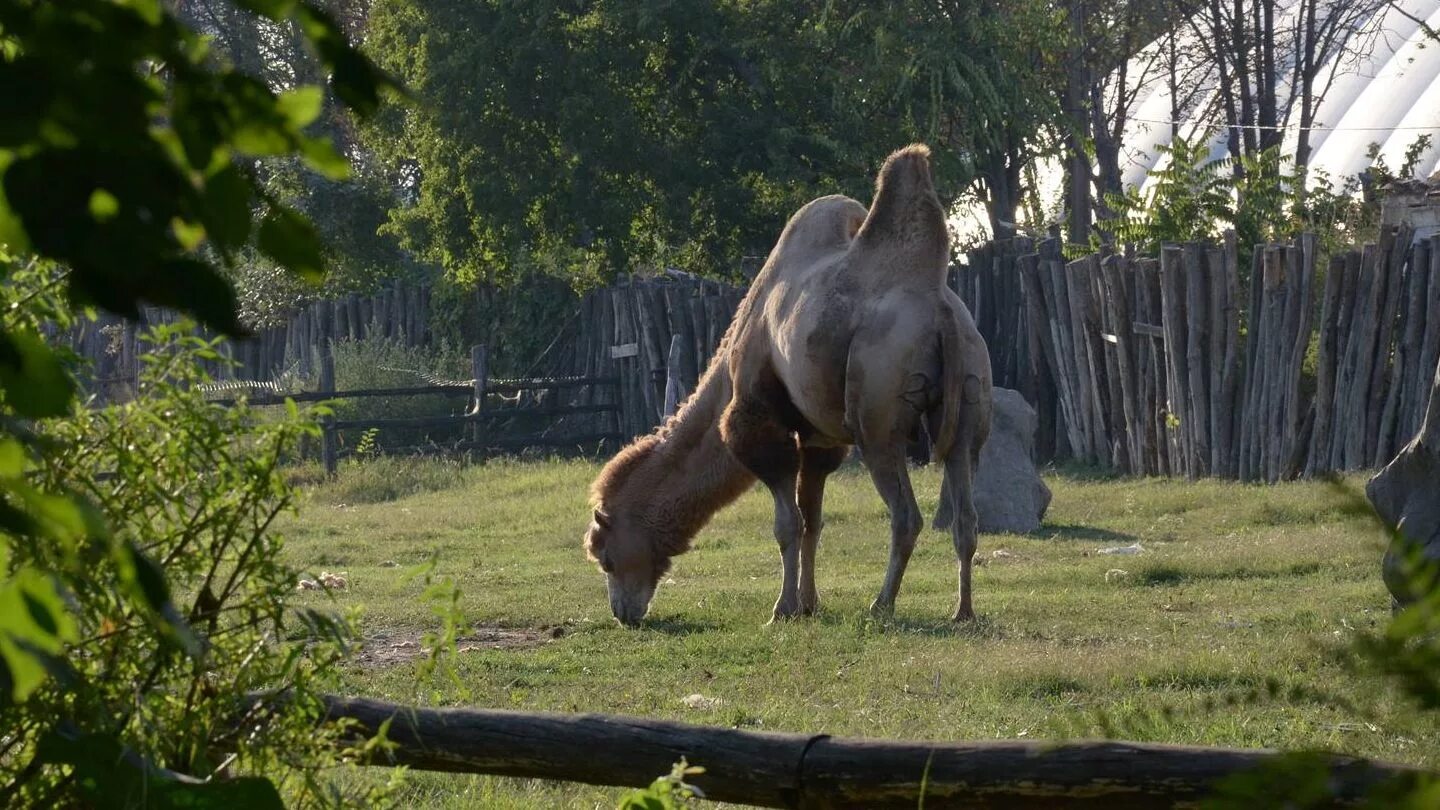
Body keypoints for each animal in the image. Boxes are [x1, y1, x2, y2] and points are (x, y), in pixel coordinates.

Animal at [581, 144, 990, 625]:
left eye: (606, 557)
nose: (623, 613)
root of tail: (940, 309)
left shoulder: (760, 419)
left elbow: (786, 523)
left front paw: (783, 608)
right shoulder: (819, 439)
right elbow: (812, 518)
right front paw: (809, 604)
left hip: (878, 409)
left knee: (906, 513)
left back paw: (881, 605)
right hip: (970, 392)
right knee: (966, 510)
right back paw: (962, 611)